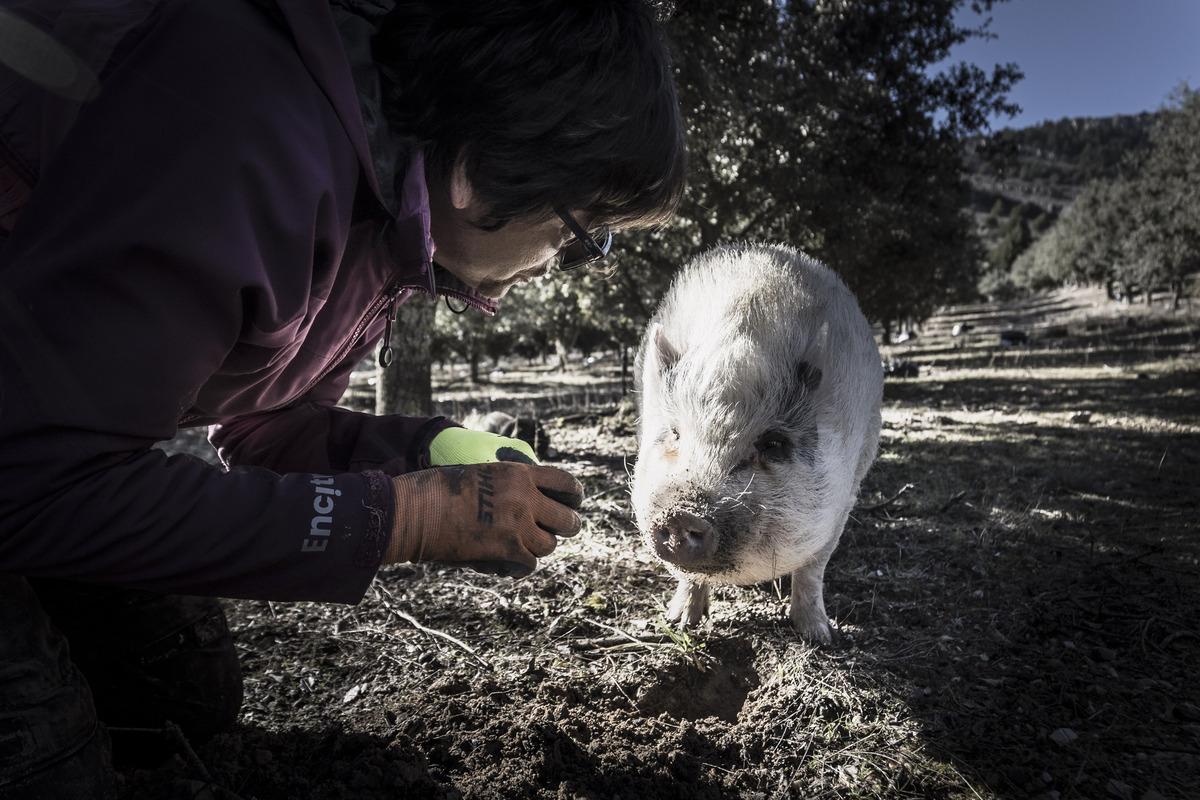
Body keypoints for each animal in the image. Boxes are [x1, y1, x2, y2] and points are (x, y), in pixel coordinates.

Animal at [633, 241, 888, 642]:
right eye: (674, 433)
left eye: (773, 444)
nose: (680, 513)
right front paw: (678, 624)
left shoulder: (842, 500)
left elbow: (812, 570)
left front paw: (819, 636)